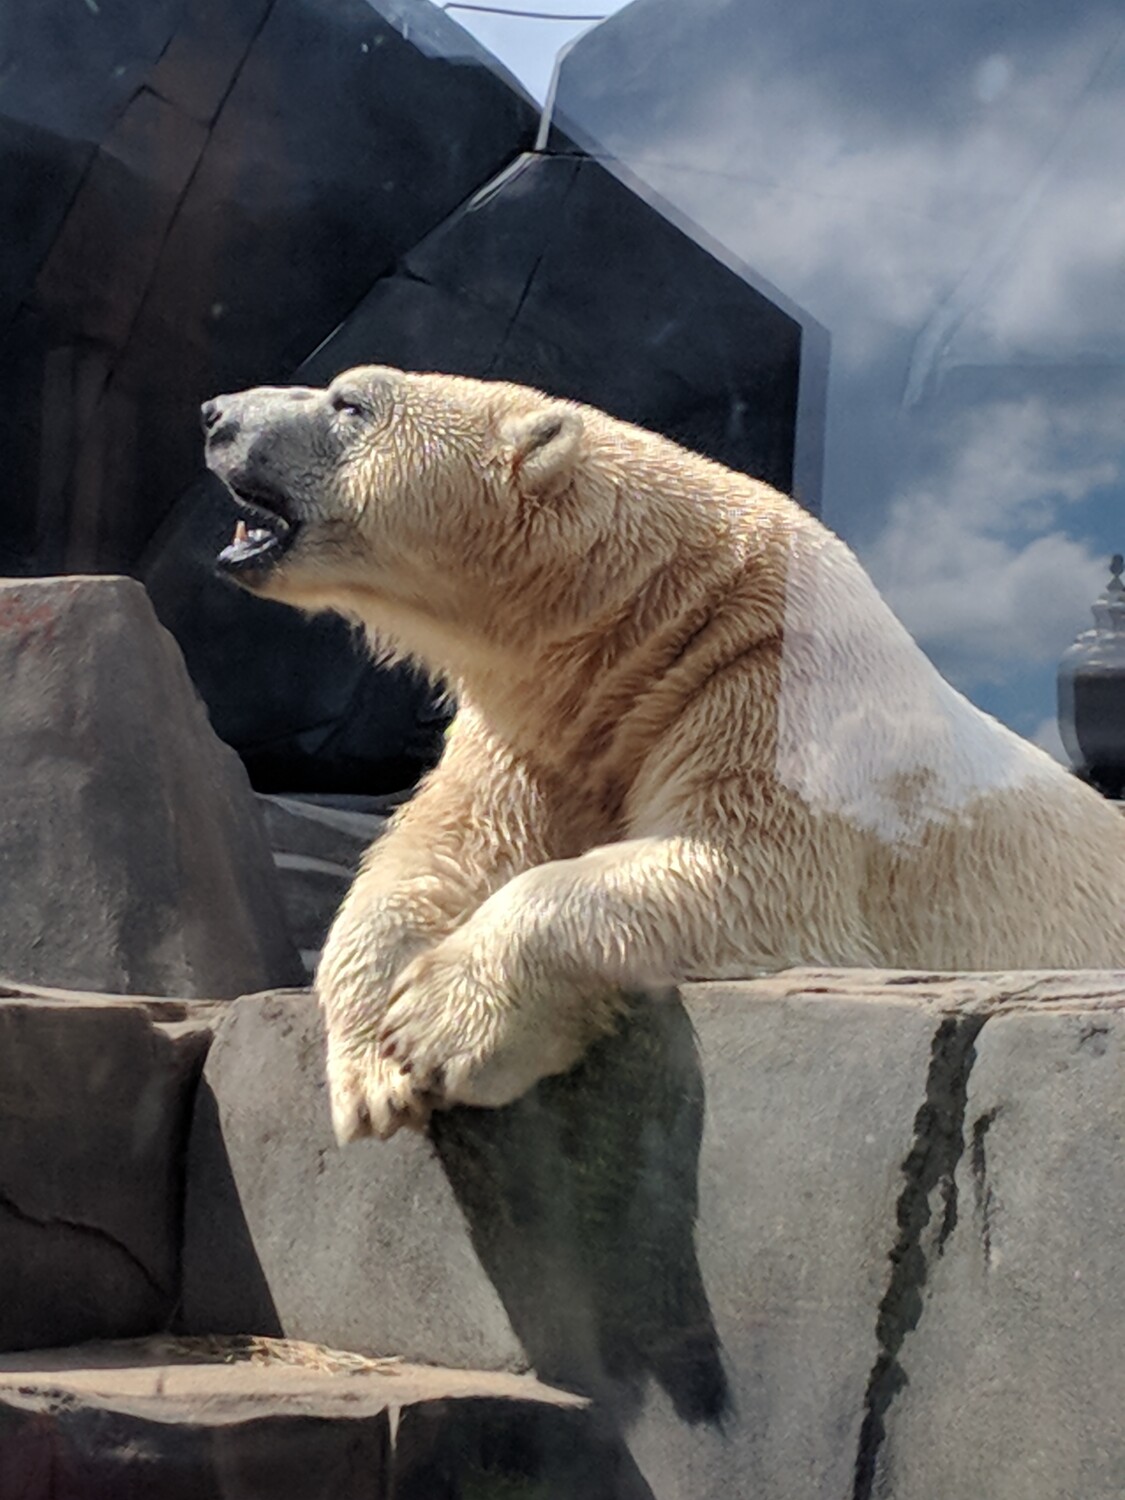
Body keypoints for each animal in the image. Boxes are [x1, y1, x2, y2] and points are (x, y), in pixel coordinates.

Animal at [202, 365, 1125, 1143]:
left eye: (349, 402)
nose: (215, 414)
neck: (650, 615)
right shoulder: (530, 728)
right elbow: (434, 857)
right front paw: (370, 1070)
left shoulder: (768, 685)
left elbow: (745, 869)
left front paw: (440, 1027)